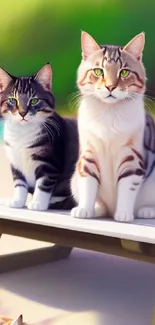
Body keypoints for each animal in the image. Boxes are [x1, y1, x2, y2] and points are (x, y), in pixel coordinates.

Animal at [0, 63, 78, 210]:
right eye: (13, 100)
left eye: (34, 100)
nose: (22, 113)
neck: (22, 132)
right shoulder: (15, 162)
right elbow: (19, 183)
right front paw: (17, 201)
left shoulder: (50, 163)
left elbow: (43, 184)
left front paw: (38, 203)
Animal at [71, 30, 155, 221]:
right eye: (98, 71)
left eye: (124, 72)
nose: (110, 87)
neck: (109, 112)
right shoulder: (88, 155)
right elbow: (88, 185)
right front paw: (84, 209)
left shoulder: (132, 158)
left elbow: (127, 188)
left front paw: (123, 214)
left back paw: (146, 211)